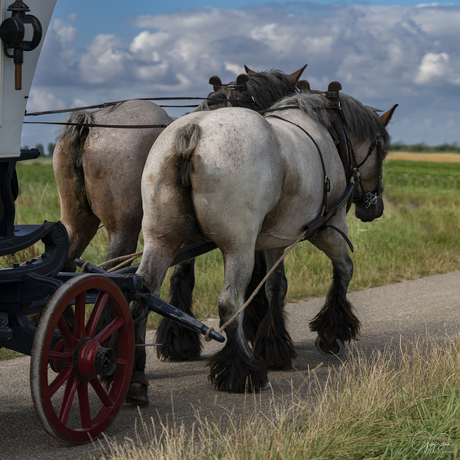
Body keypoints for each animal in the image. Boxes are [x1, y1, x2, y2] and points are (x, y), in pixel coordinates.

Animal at [132, 90, 396, 396]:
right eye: (381, 151)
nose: (374, 208)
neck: (329, 132)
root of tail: (194, 130)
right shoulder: (328, 228)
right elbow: (344, 270)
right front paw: (332, 332)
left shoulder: (274, 240)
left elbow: (275, 287)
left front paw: (274, 348)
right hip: (239, 247)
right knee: (229, 303)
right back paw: (243, 371)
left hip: (161, 240)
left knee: (143, 294)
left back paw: (136, 374)